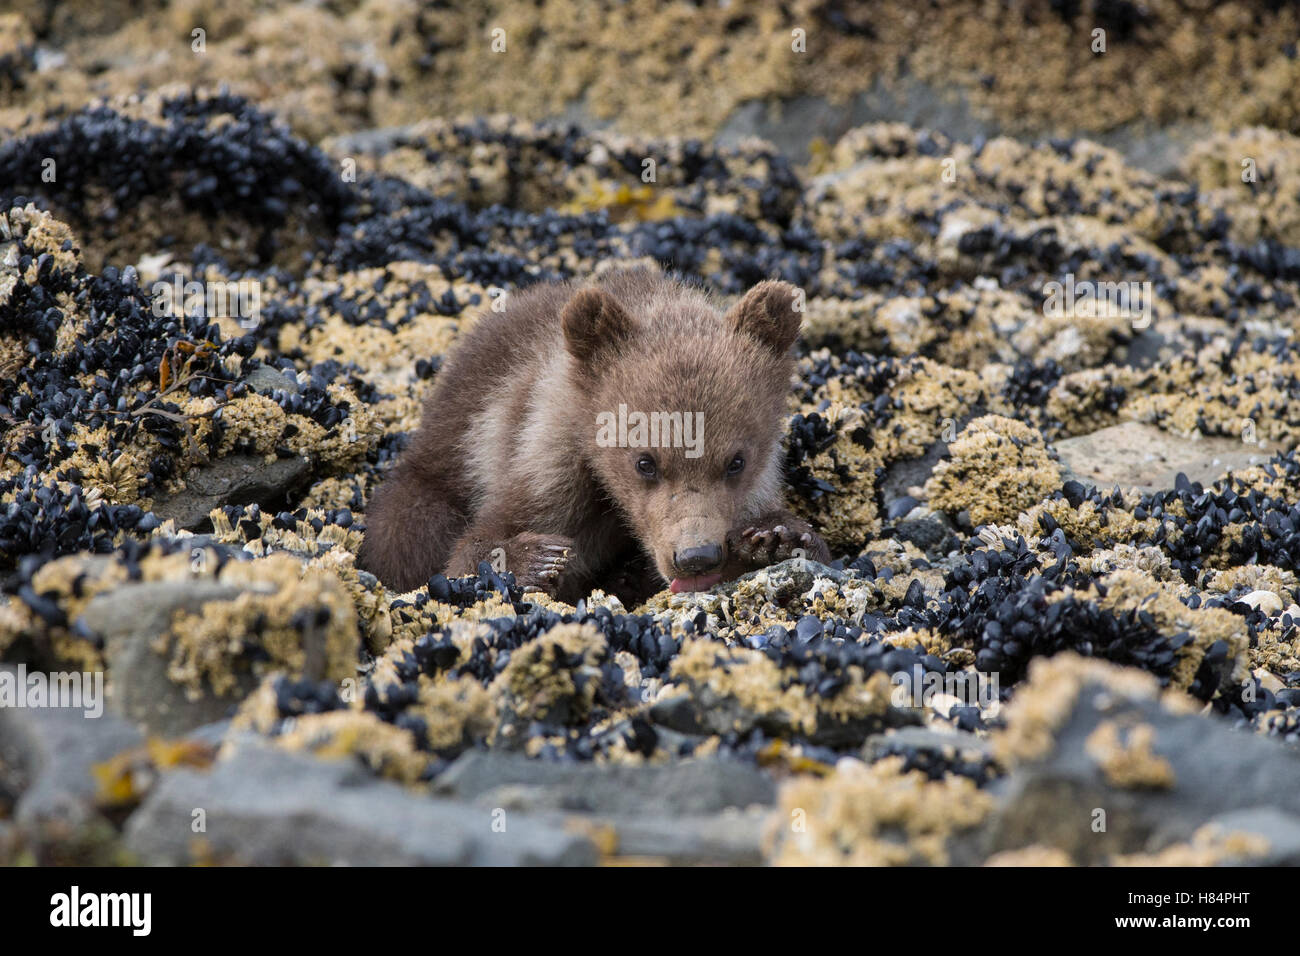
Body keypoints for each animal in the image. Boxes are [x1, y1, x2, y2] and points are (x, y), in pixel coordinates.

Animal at [357, 267, 830, 604]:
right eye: (645, 461)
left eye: (736, 461)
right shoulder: (542, 460)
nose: (696, 557)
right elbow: (466, 555)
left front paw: (775, 537)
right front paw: (537, 558)